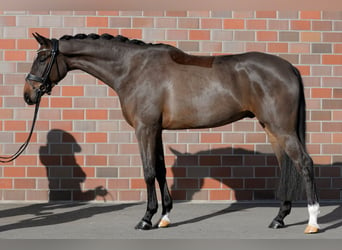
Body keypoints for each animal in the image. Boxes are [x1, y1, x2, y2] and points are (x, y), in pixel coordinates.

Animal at [22, 32, 320, 233]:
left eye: (42, 57)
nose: (28, 95)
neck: (132, 69)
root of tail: (290, 68)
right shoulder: (156, 130)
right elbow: (161, 170)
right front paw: (164, 217)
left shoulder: (144, 129)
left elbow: (148, 172)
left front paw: (146, 219)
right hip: (272, 130)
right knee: (287, 167)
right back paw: (279, 218)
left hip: (282, 129)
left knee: (304, 163)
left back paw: (313, 221)